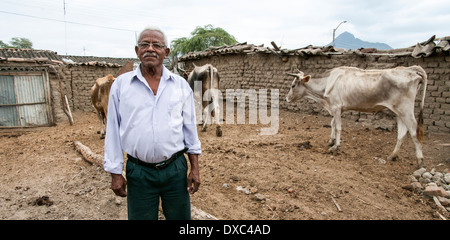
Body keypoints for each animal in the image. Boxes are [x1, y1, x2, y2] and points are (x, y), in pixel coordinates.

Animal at [286, 65, 428, 169]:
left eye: (293, 85)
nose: (286, 98)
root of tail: (411, 69)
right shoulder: (337, 108)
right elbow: (332, 124)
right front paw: (331, 140)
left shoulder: (336, 107)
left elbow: (338, 127)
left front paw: (335, 146)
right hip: (399, 111)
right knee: (402, 132)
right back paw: (392, 155)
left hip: (405, 109)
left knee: (414, 130)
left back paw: (420, 161)